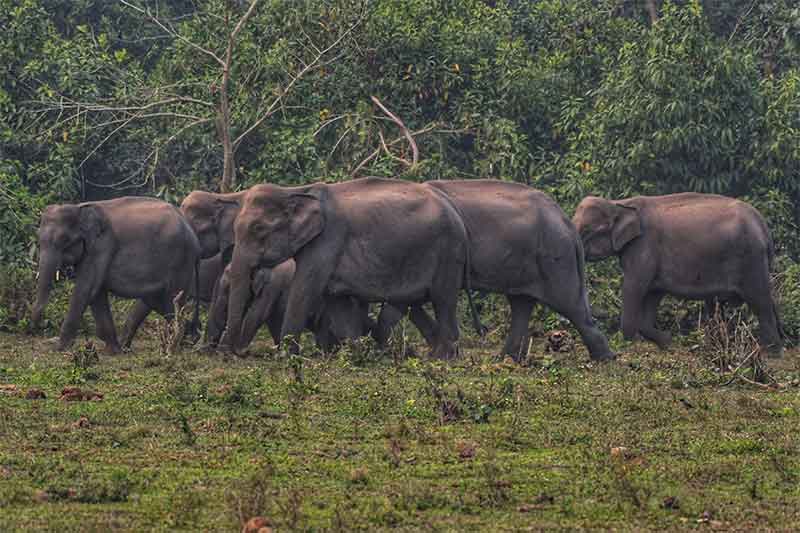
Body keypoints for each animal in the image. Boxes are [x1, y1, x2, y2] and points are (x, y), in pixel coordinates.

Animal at [31, 197, 201, 354]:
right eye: (38, 238)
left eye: (64, 240)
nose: (38, 326)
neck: (80, 208)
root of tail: (192, 232)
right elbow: (96, 294)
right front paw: (113, 351)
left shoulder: (102, 246)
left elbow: (85, 290)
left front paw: (59, 349)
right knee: (158, 302)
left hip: (181, 261)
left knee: (172, 301)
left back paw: (174, 348)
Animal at [207, 259, 375, 352]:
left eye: (229, 289)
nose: (208, 350)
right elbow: (273, 321)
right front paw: (278, 350)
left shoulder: (272, 285)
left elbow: (257, 314)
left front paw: (239, 351)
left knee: (326, 328)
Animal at [225, 178, 480, 359]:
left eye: (258, 229)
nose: (241, 351)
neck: (295, 190)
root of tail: (458, 216)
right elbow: (335, 301)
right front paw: (355, 355)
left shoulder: (327, 240)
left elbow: (305, 289)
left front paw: (286, 357)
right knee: (408, 305)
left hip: (448, 253)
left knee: (443, 300)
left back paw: (442, 358)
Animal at [375, 179, 614, 361]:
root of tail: (566, 222)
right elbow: (407, 303)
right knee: (521, 303)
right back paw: (506, 358)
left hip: (555, 257)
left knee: (570, 305)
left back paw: (604, 359)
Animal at [572, 193, 783, 355]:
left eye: (589, 230)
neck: (619, 203)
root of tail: (763, 225)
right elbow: (652, 294)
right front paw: (667, 342)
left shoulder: (644, 247)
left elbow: (633, 288)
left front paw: (630, 343)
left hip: (751, 259)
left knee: (760, 302)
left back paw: (771, 352)